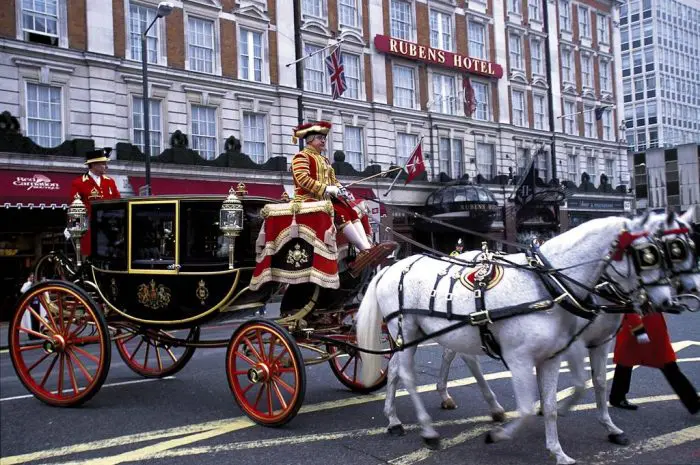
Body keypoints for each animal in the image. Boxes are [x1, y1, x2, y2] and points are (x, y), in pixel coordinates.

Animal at [358, 216, 676, 462]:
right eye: (647, 256)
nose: (667, 301)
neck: (549, 285)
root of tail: (392, 267)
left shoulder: (556, 355)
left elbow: (563, 399)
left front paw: (558, 450)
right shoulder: (521, 358)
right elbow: (525, 409)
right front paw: (498, 436)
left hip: (421, 333)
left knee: (400, 369)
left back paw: (395, 418)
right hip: (406, 329)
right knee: (408, 375)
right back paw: (427, 429)